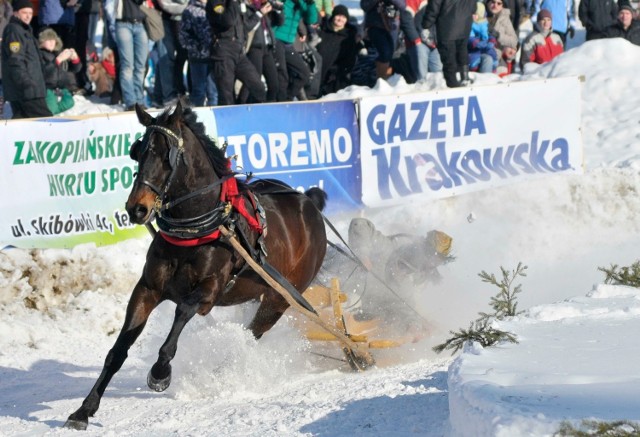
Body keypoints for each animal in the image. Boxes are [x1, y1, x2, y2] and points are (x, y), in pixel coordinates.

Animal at [64, 101, 328, 430]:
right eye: (138, 152)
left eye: (166, 155)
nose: (136, 208)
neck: (196, 228)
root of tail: (310, 204)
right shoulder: (147, 289)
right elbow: (118, 351)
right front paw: (84, 409)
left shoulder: (208, 292)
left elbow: (180, 314)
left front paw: (160, 372)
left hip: (279, 299)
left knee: (252, 334)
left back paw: (223, 374)